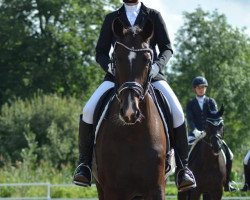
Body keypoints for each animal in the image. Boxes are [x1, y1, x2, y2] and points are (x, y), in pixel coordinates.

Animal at [94, 18, 168, 200]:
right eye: (116, 57)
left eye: (147, 59)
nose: (129, 111)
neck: (132, 135)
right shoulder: (113, 190)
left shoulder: (157, 189)